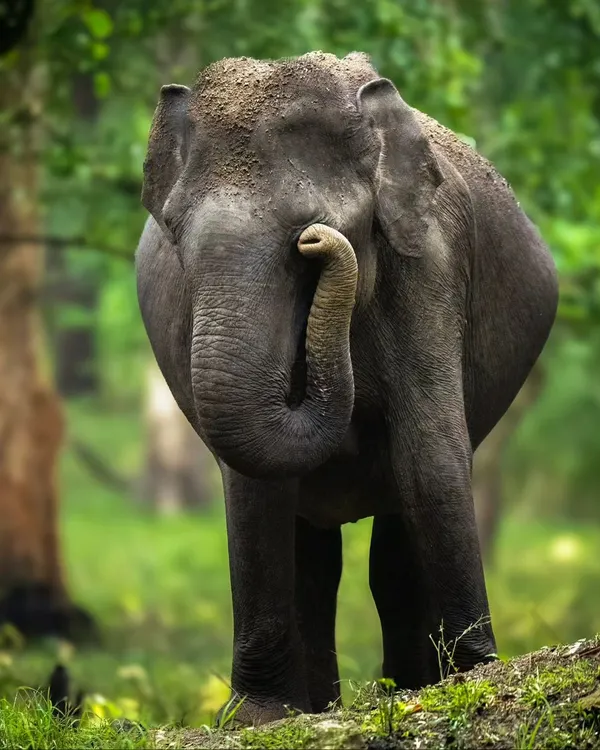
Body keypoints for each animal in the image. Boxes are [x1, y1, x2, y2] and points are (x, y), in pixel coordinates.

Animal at [135, 51, 558, 725]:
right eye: (173, 230)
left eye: (305, 236)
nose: (318, 240)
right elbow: (254, 487)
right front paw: (258, 718)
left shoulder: (429, 265)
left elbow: (430, 459)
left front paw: (480, 680)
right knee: (315, 558)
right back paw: (320, 709)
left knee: (389, 545)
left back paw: (410, 687)